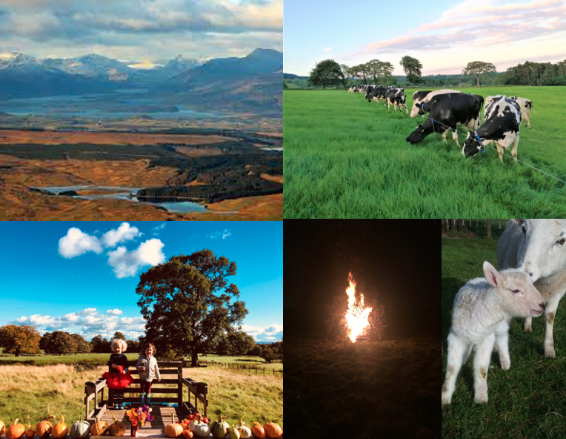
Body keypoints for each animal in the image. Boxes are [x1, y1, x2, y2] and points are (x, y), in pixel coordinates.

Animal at [444, 262, 544, 406]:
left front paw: (480, 397)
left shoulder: (487, 338)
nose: (543, 305)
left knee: (502, 338)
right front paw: (445, 396)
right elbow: (451, 369)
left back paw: (505, 362)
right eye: (515, 290)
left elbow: (481, 368)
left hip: (500, 326)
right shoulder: (455, 336)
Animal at [500, 218, 564, 360]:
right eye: (523, 229)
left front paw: (549, 349)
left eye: (562, 241)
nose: (524, 273)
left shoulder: (557, 292)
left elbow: (550, 316)